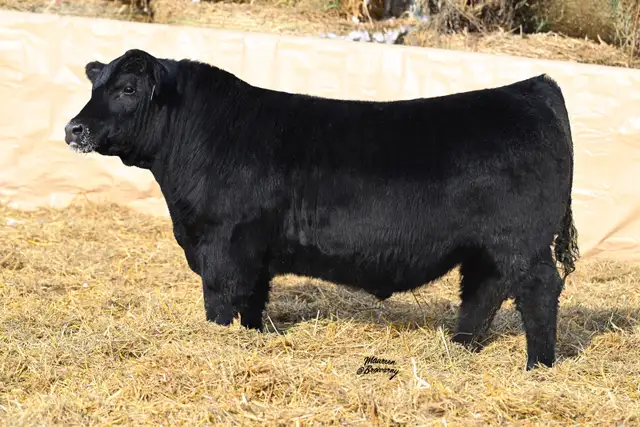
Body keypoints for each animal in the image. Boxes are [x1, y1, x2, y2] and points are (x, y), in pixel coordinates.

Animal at [64, 49, 579, 370]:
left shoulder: (223, 245)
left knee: (538, 289)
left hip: (522, 242)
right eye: (96, 85)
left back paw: (538, 365)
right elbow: (252, 303)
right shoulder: (254, 253)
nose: (74, 129)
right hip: (485, 248)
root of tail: (534, 87)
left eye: (128, 89)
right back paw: (460, 348)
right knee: (483, 292)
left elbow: (222, 301)